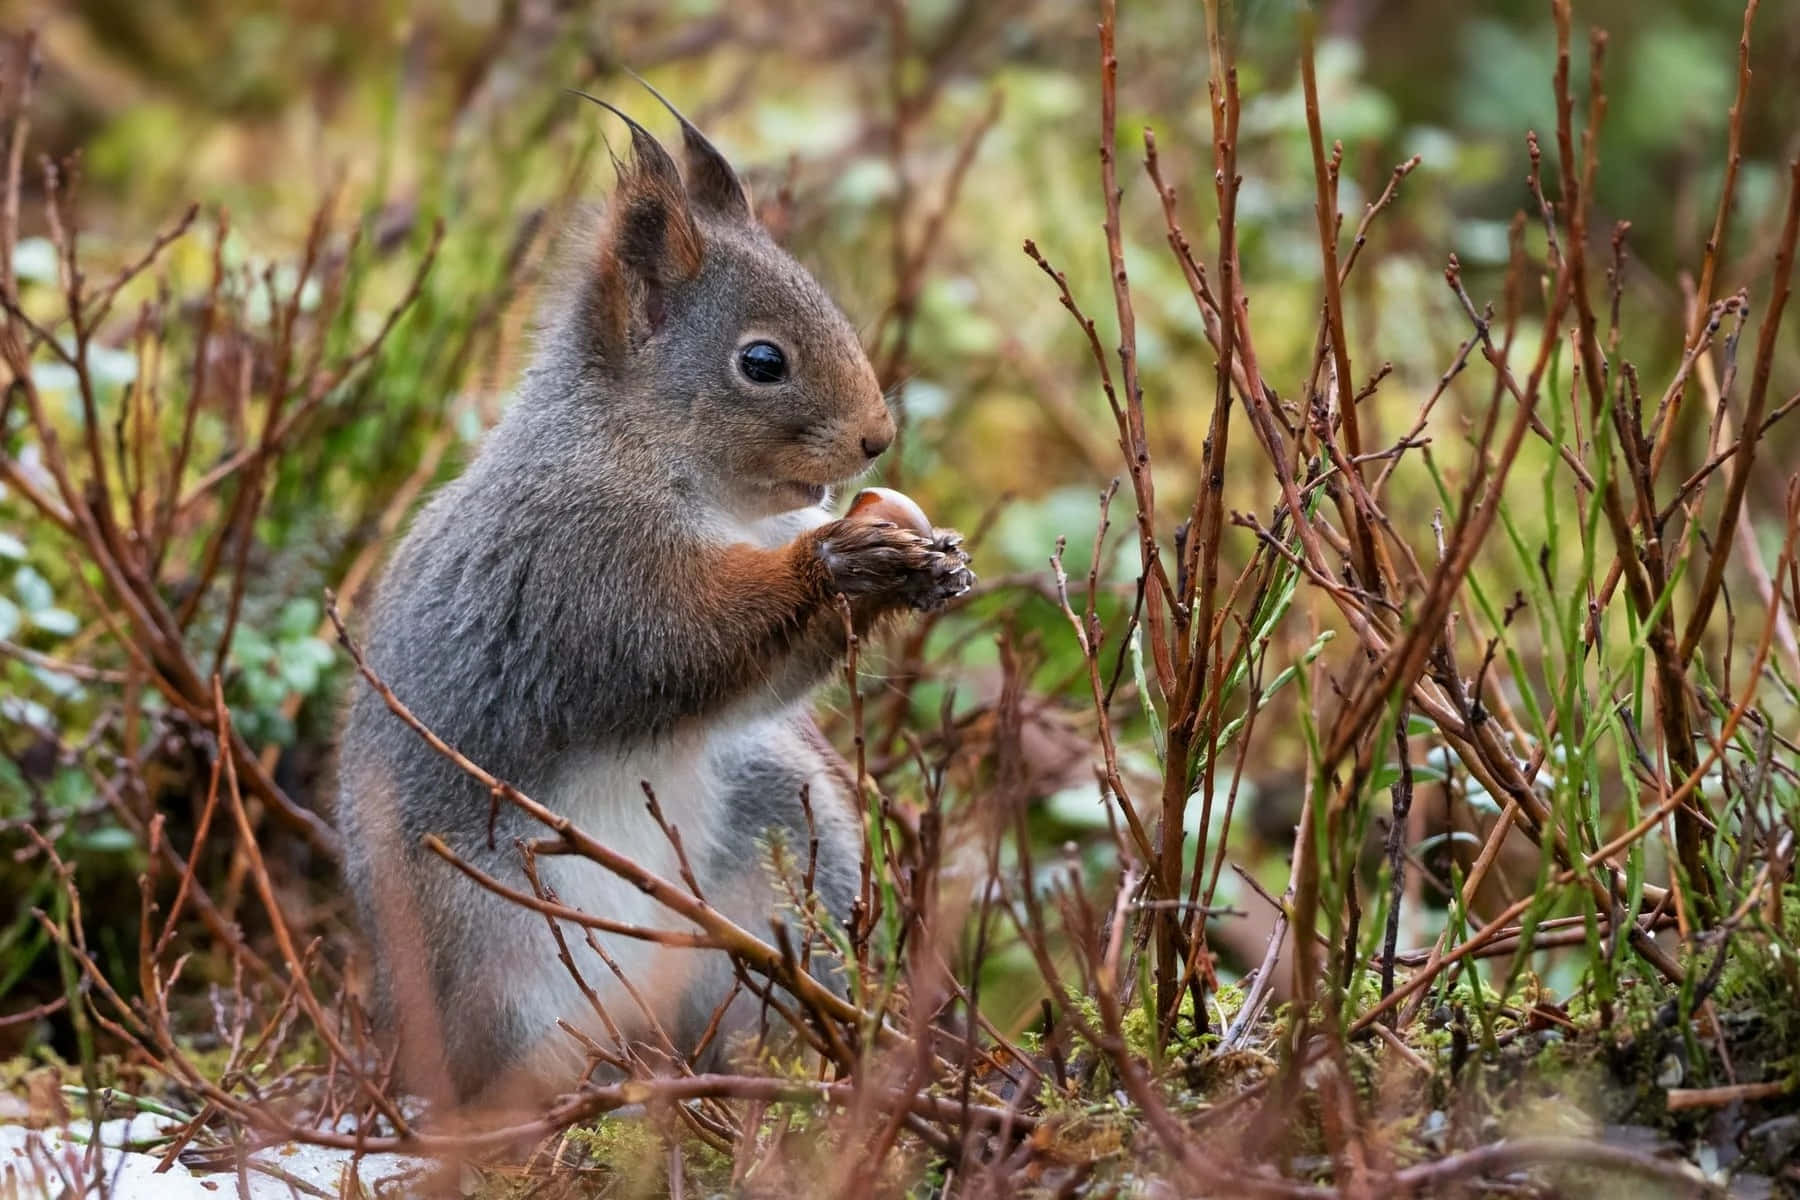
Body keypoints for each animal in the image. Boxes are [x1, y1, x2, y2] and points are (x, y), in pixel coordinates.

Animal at [336, 89, 972, 1115]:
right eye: (762, 361)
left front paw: (920, 558)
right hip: (501, 949)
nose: (877, 440)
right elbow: (686, 640)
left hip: (786, 832)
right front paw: (842, 560)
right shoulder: (587, 568)